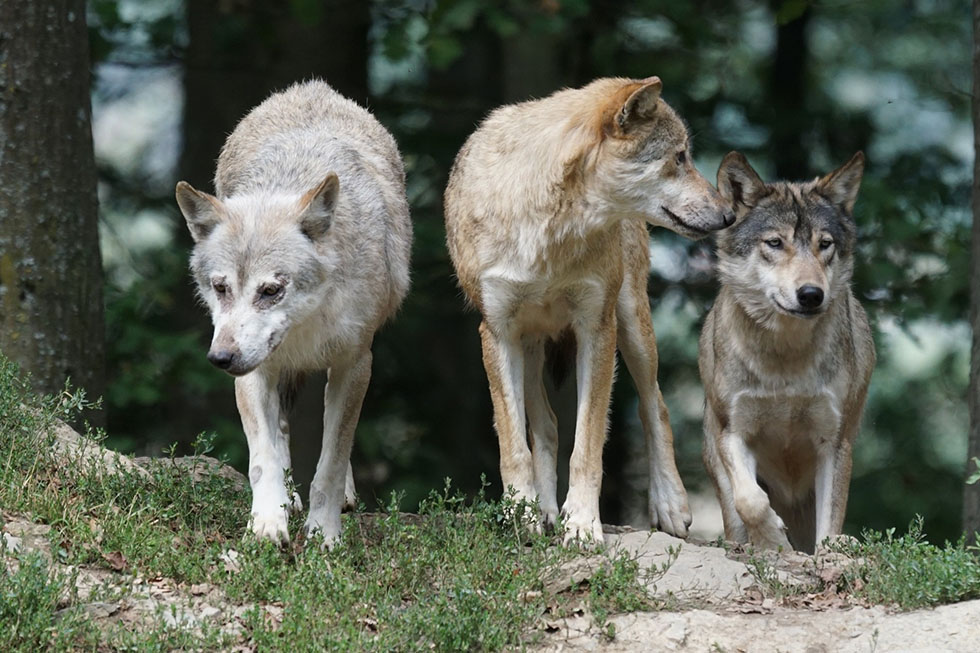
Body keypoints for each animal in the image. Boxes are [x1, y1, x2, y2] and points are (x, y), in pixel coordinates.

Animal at [174, 79, 412, 544]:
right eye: (221, 288)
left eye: (271, 290)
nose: (220, 358)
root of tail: (310, 87)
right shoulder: (253, 371)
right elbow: (262, 458)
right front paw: (268, 522)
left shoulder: (356, 363)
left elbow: (331, 461)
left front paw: (324, 534)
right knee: (281, 429)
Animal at [444, 76, 736, 544]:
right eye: (679, 157)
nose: (729, 215)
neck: (550, 230)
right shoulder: (497, 332)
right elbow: (513, 444)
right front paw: (522, 515)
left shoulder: (596, 328)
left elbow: (588, 445)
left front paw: (581, 524)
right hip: (529, 345)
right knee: (545, 425)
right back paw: (543, 511)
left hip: (632, 326)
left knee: (655, 406)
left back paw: (670, 505)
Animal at [700, 152, 876, 552]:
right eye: (775, 243)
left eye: (824, 244)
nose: (811, 294)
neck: (785, 359)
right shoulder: (733, 431)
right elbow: (750, 500)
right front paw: (773, 541)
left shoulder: (834, 442)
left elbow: (830, 525)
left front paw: (825, 551)